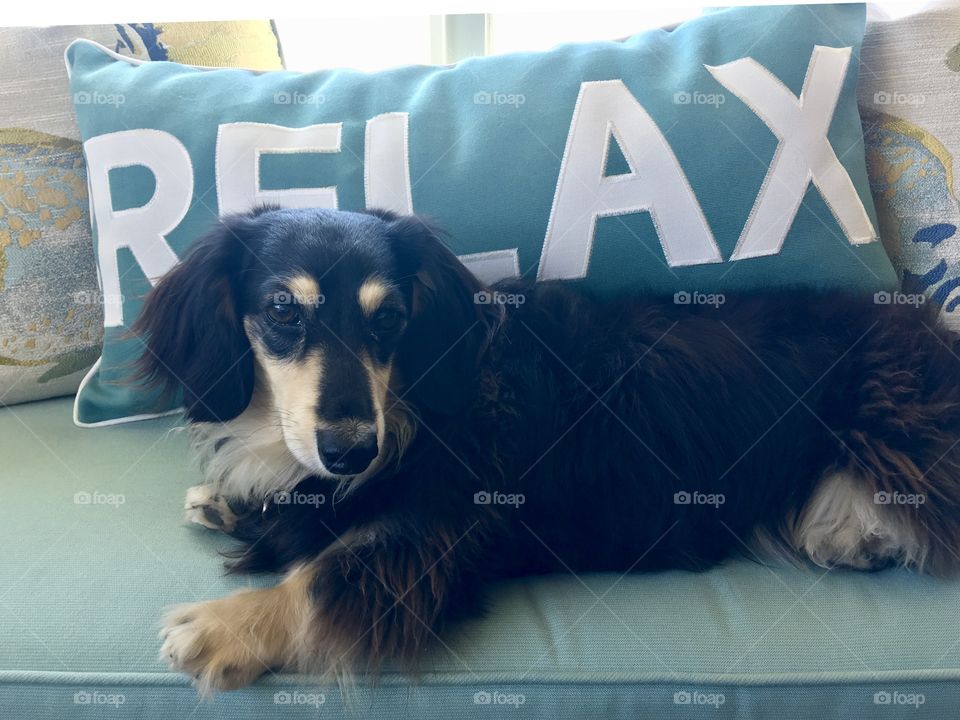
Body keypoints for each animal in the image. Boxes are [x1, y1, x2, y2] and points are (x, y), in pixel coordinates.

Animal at [137, 207, 960, 692]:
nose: (351, 452)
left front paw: (220, 626)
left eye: (390, 318)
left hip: (900, 427)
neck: (409, 407)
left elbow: (322, 577)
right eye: (283, 311)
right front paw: (228, 502)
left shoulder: (432, 536)